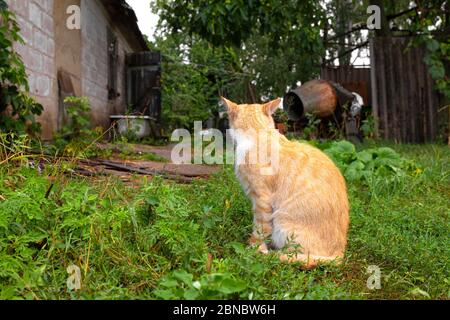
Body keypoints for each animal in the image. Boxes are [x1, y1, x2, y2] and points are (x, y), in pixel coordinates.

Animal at [223, 97, 350, 270]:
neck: (259, 135)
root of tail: (340, 254)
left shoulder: (261, 200)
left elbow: (259, 229)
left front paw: (254, 248)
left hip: (283, 224)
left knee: (296, 255)